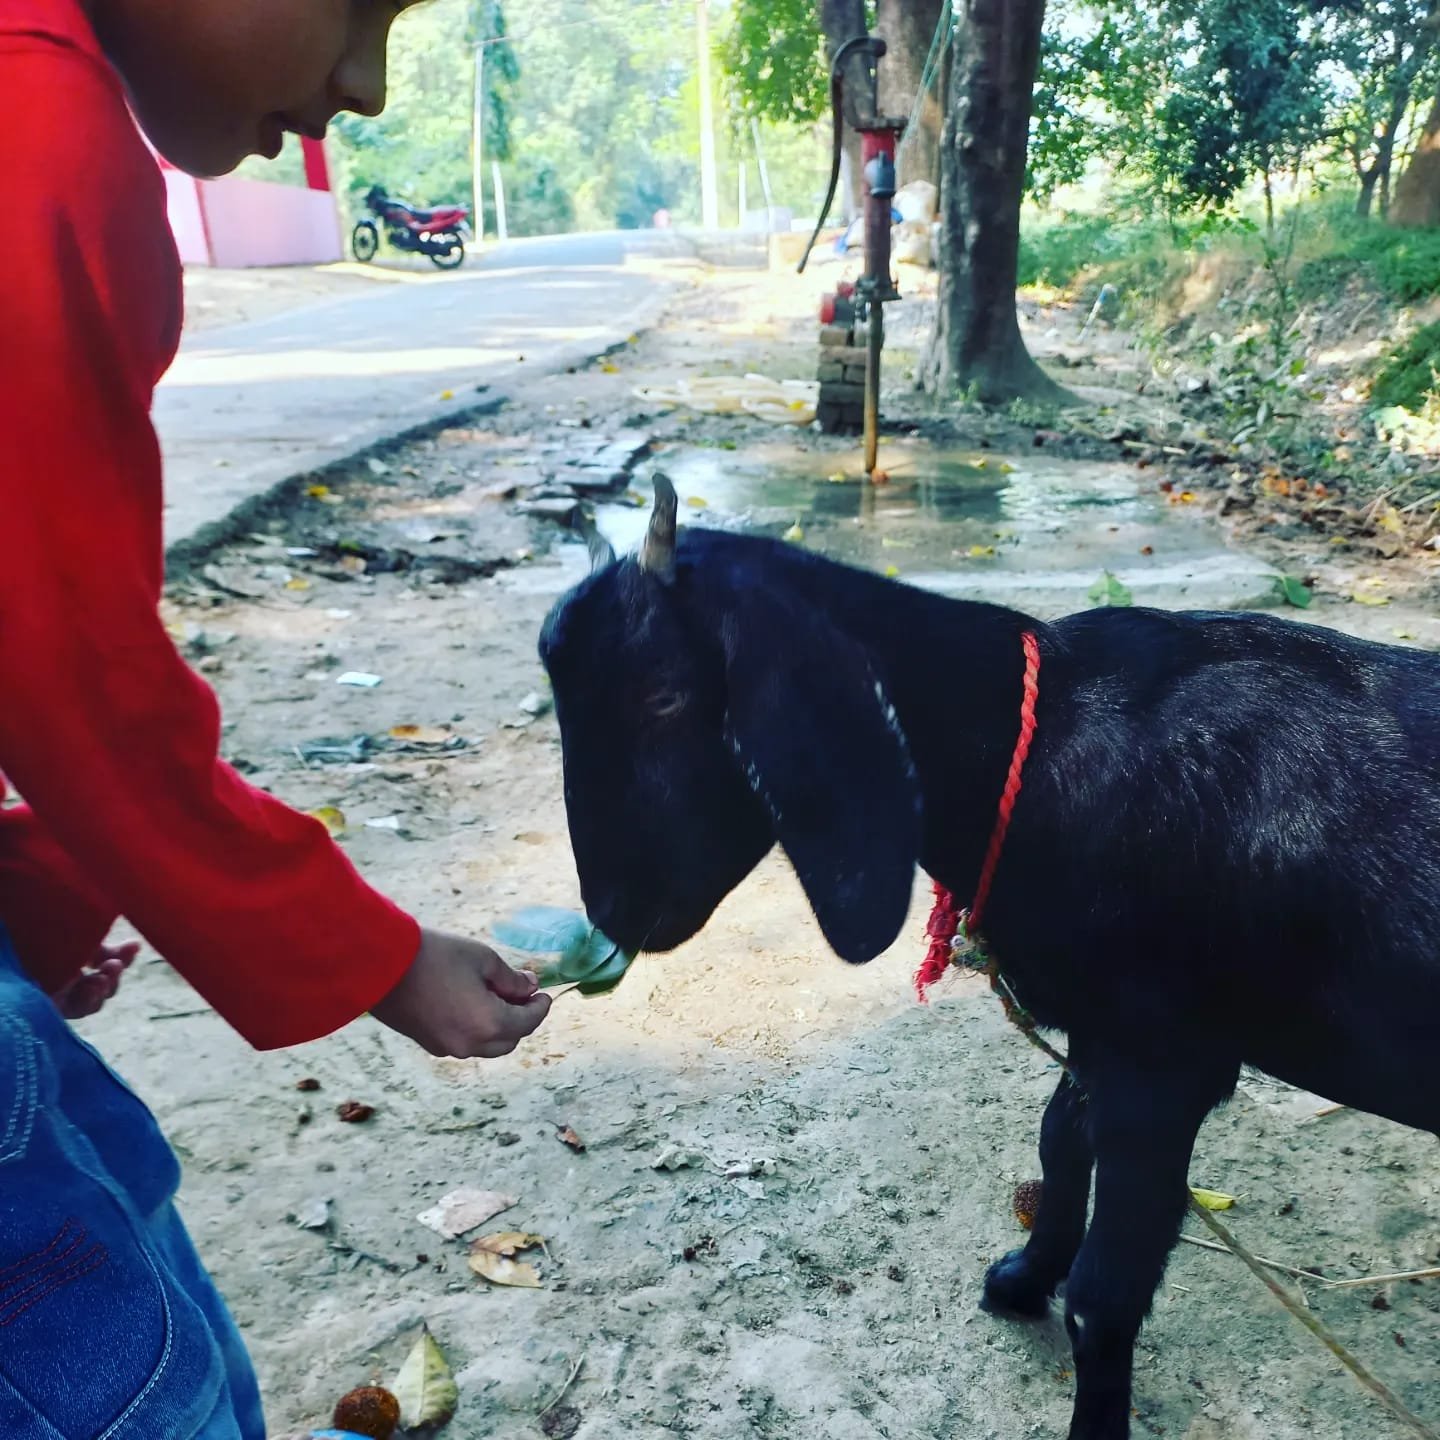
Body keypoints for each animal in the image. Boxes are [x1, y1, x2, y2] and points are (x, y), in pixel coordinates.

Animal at [539, 475, 1440, 1440]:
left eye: (665, 696)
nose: (612, 914)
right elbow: (1058, 1146)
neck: (1033, 747)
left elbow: (1105, 1296)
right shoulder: (1099, 1035)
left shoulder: (1164, 1060)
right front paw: (1021, 1278)